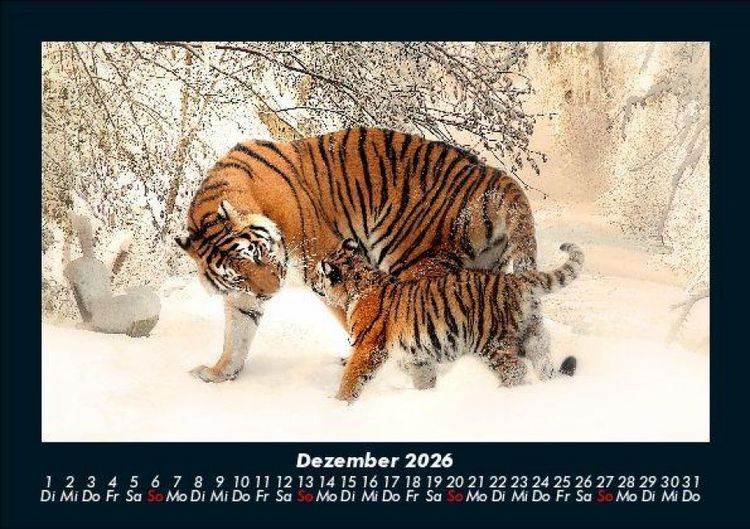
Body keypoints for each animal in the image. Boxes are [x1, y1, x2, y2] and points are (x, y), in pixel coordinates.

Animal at [176, 128, 539, 383]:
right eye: (238, 275)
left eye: (257, 254)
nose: (271, 292)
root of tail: (493, 176)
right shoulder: (242, 295)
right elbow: (237, 333)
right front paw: (219, 373)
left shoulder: (322, 259)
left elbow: (351, 313)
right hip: (484, 268)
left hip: (415, 261)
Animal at [313, 238, 582, 402]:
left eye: (319, 273)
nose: (313, 284)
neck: (358, 285)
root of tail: (516, 280)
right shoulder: (417, 355)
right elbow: (424, 378)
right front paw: (425, 397)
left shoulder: (368, 347)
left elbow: (351, 377)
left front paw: (339, 404)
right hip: (534, 335)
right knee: (543, 364)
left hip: (491, 342)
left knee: (516, 370)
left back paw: (501, 395)